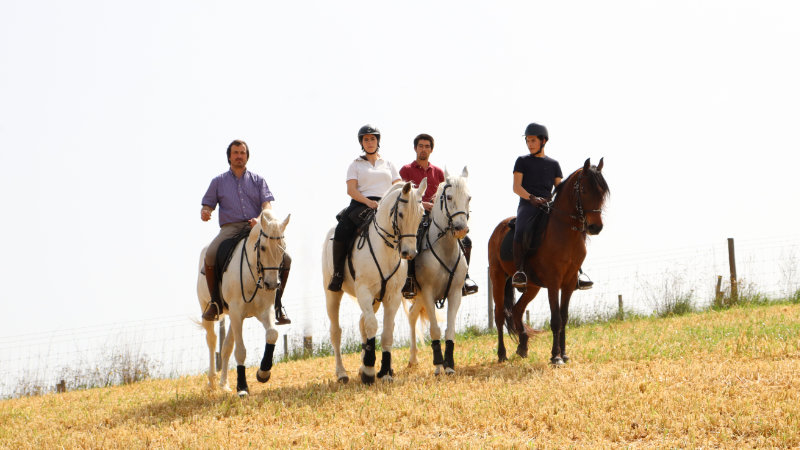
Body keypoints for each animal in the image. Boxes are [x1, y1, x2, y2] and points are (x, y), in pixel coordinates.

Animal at [197, 209, 290, 397]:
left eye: (283, 248)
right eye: (263, 247)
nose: (271, 284)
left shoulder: (265, 311)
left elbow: (272, 334)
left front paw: (263, 372)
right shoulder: (236, 312)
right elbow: (240, 351)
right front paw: (242, 387)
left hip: (234, 318)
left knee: (226, 347)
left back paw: (223, 384)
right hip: (208, 309)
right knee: (212, 341)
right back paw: (211, 382)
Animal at [322, 180, 427, 384]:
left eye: (421, 214)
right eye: (401, 214)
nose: (409, 253)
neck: (385, 249)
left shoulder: (392, 296)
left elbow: (387, 331)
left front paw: (384, 372)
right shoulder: (364, 291)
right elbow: (372, 325)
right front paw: (370, 372)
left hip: (376, 300)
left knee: (362, 323)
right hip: (333, 294)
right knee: (336, 331)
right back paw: (342, 373)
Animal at [404, 167, 471, 375]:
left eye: (469, 197)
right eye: (448, 197)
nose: (460, 228)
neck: (444, 249)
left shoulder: (455, 293)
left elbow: (450, 330)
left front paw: (449, 365)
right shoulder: (427, 292)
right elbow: (435, 329)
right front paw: (438, 365)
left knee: (412, 314)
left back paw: (413, 359)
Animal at [488, 158, 609, 365]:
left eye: (602, 192)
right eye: (584, 190)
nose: (595, 227)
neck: (565, 231)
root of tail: (499, 229)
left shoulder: (569, 283)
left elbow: (564, 317)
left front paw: (564, 354)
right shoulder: (554, 281)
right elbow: (556, 319)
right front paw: (555, 356)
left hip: (532, 286)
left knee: (518, 310)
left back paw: (522, 347)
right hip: (498, 276)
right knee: (499, 315)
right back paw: (502, 354)